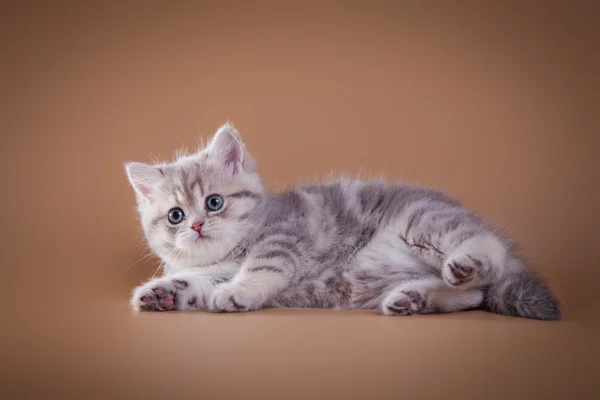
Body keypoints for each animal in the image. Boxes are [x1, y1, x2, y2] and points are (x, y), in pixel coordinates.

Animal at [125, 123, 564, 320]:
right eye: (176, 216)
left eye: (214, 203)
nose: (197, 226)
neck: (233, 250)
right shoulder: (215, 267)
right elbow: (195, 282)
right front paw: (163, 293)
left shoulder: (285, 236)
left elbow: (262, 268)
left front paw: (239, 291)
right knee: (472, 296)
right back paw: (413, 298)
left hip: (422, 220)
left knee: (482, 255)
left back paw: (468, 262)